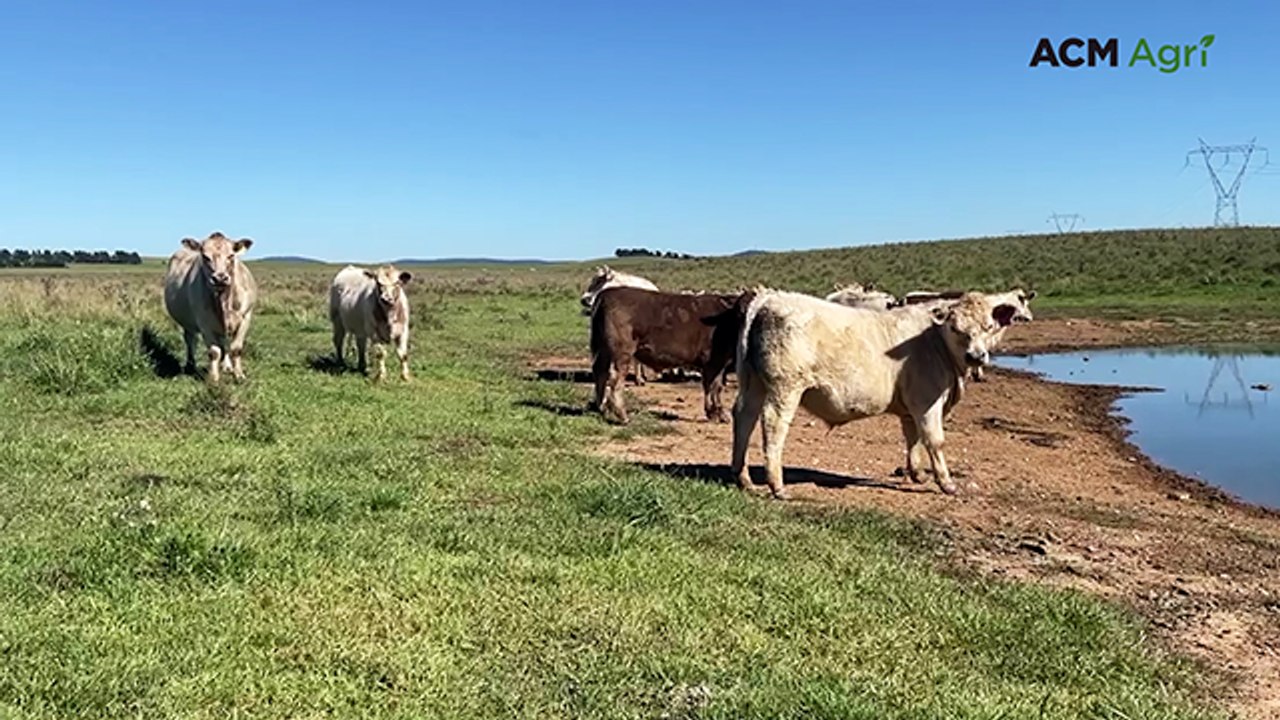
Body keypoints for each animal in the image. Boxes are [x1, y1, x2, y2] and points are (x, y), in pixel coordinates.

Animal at [163, 232, 257, 383]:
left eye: (231, 255)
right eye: (205, 257)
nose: (220, 278)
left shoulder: (245, 317)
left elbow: (235, 348)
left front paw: (238, 375)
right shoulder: (204, 322)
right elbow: (214, 351)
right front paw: (213, 378)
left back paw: (227, 366)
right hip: (188, 323)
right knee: (191, 341)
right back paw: (190, 366)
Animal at [590, 287, 748, 425]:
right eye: (741, 311)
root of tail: (606, 294)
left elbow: (714, 387)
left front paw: (716, 413)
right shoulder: (714, 362)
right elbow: (713, 387)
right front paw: (716, 414)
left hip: (604, 350)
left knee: (600, 372)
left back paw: (601, 408)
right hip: (622, 352)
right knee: (615, 380)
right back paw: (622, 415)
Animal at [730, 289, 1031, 499]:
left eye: (988, 327)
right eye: (955, 328)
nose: (976, 356)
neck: (935, 342)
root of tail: (770, 297)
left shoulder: (912, 404)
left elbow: (912, 437)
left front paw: (917, 473)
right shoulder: (927, 400)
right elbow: (934, 439)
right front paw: (946, 483)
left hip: (753, 382)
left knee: (744, 418)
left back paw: (743, 478)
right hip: (785, 387)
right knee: (773, 424)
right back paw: (776, 485)